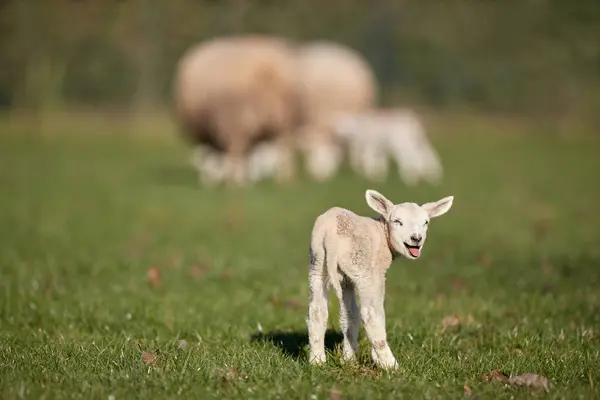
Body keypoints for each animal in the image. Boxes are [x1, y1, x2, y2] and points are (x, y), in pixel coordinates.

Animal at [308, 190, 452, 368]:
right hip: (364, 271)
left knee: (317, 311)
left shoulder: (347, 279)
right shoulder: (375, 271)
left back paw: (317, 361)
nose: (416, 239)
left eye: (425, 222)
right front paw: (375, 358)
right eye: (397, 221)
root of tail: (330, 236)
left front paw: (349, 358)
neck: (383, 233)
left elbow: (349, 315)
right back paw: (391, 365)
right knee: (371, 314)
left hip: (319, 264)